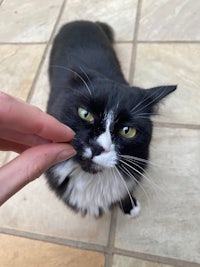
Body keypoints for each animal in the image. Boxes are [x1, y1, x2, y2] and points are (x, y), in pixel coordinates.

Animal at [45, 20, 177, 218]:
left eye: (127, 131)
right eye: (85, 113)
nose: (96, 147)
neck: (92, 179)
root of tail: (80, 21)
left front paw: (129, 205)